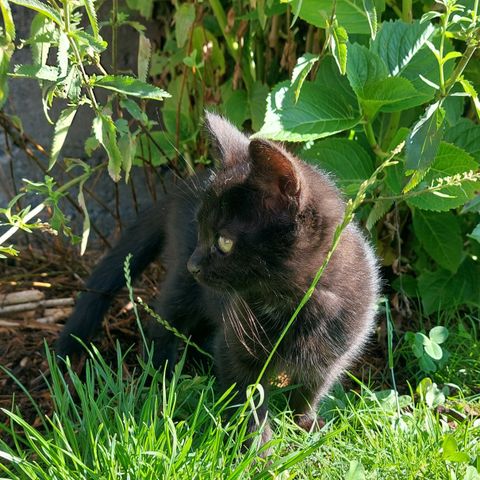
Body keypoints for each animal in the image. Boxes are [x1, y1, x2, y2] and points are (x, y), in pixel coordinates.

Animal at [55, 112, 378, 446]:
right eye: (200, 229)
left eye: (224, 242)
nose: (194, 264)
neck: (296, 303)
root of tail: (188, 182)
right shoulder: (236, 347)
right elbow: (247, 398)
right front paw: (258, 449)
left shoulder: (335, 352)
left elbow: (310, 389)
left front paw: (305, 424)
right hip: (183, 285)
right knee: (164, 321)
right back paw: (162, 376)